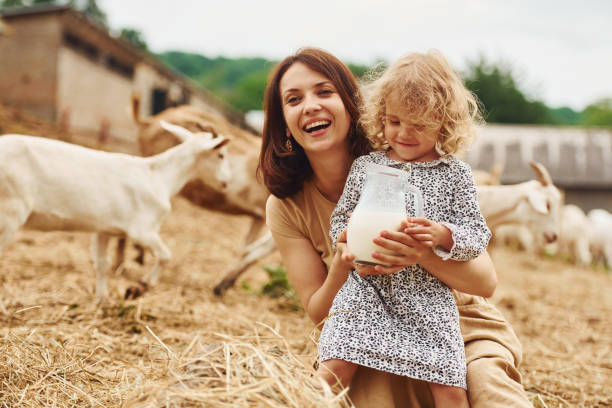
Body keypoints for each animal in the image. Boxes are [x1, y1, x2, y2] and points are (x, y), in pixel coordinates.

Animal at [0, 125, 228, 302]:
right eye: (221, 154)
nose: (226, 181)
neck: (158, 176)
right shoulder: (142, 230)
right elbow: (165, 255)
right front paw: (139, 288)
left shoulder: (104, 229)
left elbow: (102, 264)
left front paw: (102, 300)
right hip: (11, 212)